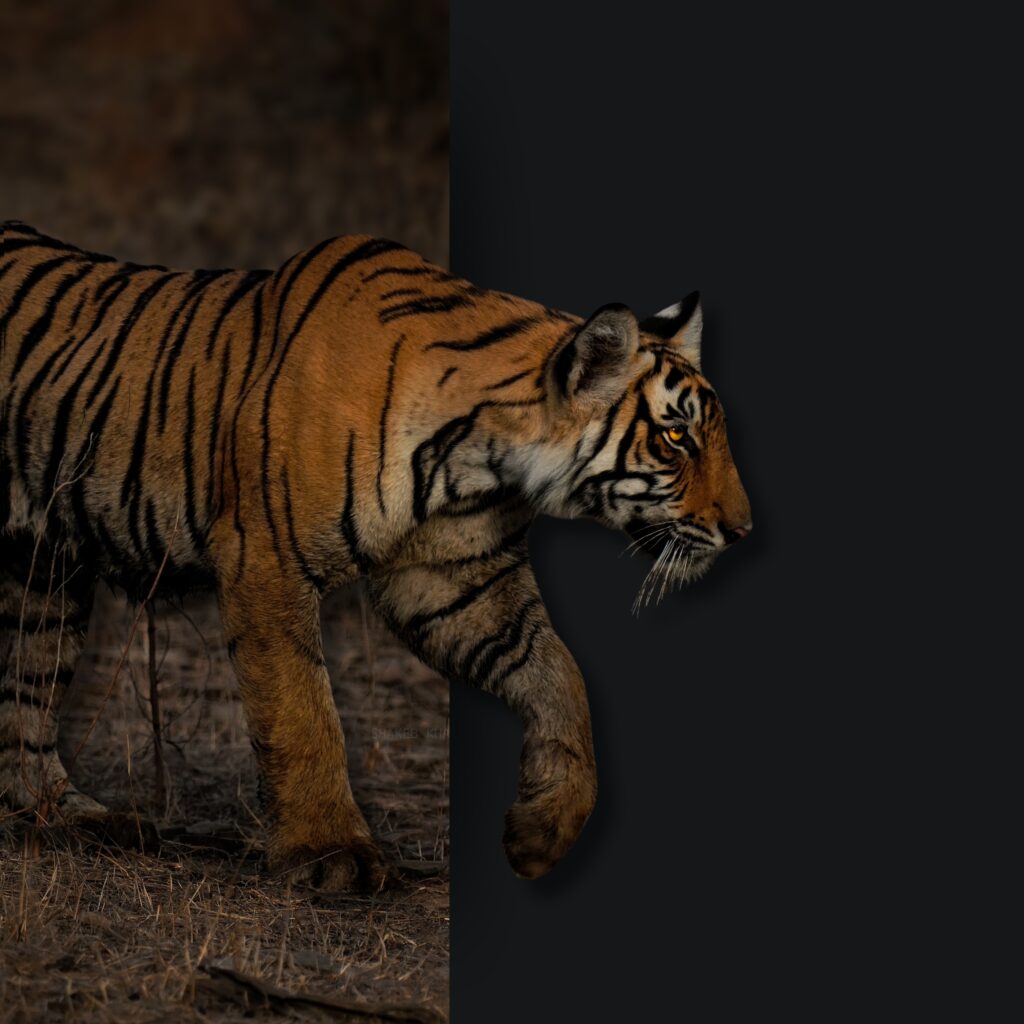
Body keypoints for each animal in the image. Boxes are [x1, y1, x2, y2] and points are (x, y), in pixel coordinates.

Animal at [0, 219, 751, 890]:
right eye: (677, 438)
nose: (743, 529)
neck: (482, 457)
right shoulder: (264, 559)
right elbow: (302, 710)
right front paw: (330, 853)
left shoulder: (454, 580)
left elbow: (559, 676)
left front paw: (544, 830)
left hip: (41, 578)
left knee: (28, 693)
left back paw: (69, 817)